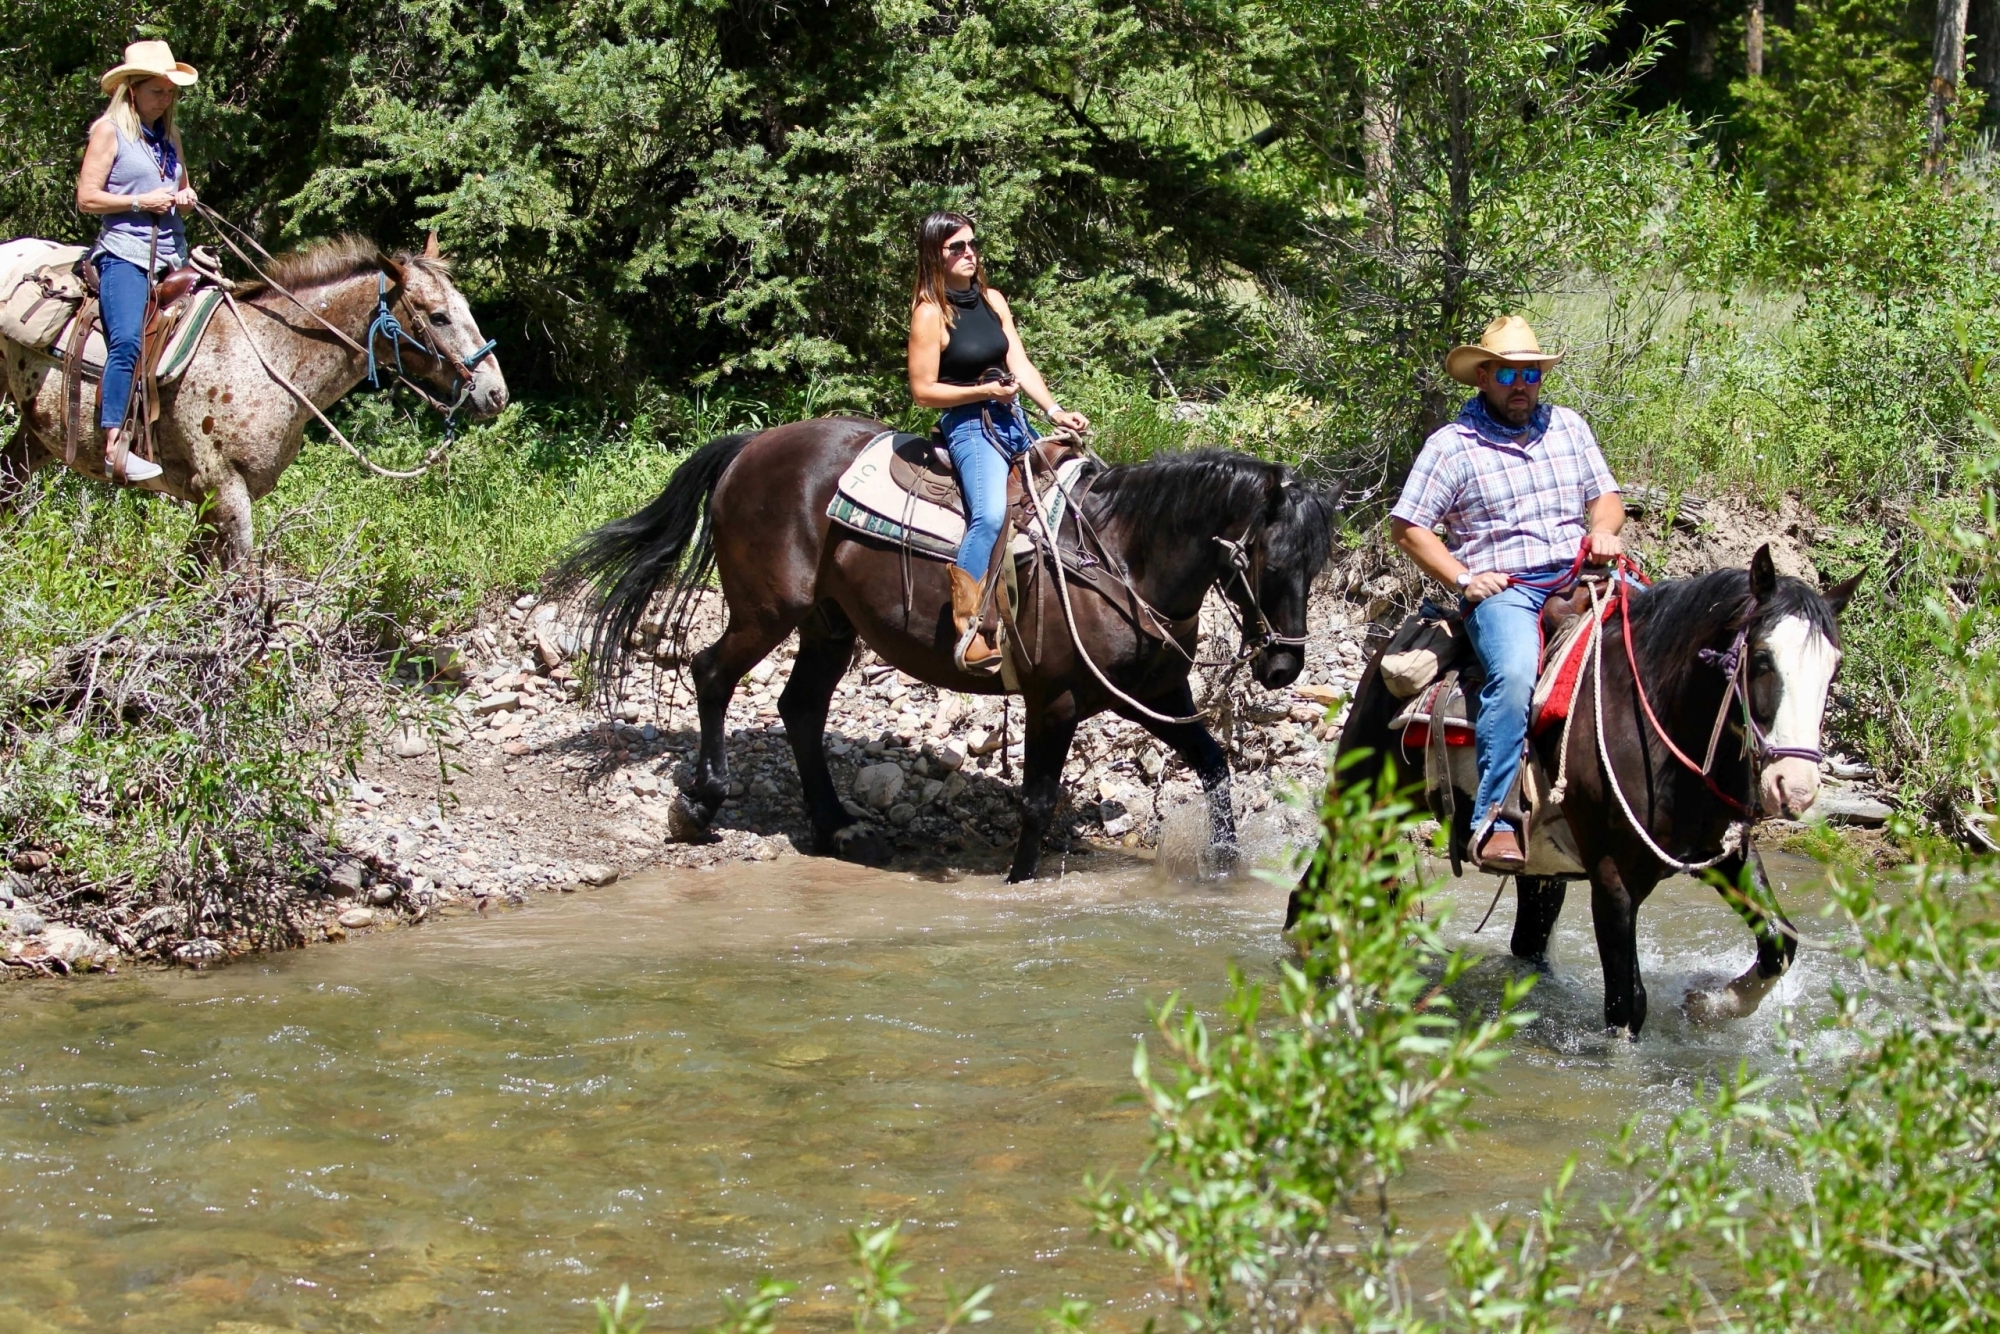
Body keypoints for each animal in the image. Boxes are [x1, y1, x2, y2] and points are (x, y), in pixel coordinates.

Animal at [0, 237, 508, 568]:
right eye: (438, 317)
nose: (496, 392)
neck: (268, 353)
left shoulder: (215, 501)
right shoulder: (225, 490)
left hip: (35, 436)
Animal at [548, 414, 1336, 876]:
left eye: (1318, 564)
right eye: (1268, 561)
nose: (1284, 664)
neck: (1118, 555)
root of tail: (754, 446)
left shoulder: (1152, 693)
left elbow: (1214, 763)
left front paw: (1226, 870)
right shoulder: (1054, 699)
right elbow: (1037, 802)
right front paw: (1020, 882)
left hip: (830, 624)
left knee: (800, 707)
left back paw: (839, 826)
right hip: (768, 610)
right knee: (711, 671)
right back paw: (703, 803)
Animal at [1296, 548, 1856, 1040]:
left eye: (1834, 668)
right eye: (1761, 659)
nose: (1795, 788)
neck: (1657, 723)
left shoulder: (1725, 853)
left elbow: (1779, 942)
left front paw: (1710, 1004)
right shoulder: (1613, 877)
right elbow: (1627, 1005)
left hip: (1535, 867)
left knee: (1527, 941)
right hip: (1359, 810)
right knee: (1310, 894)